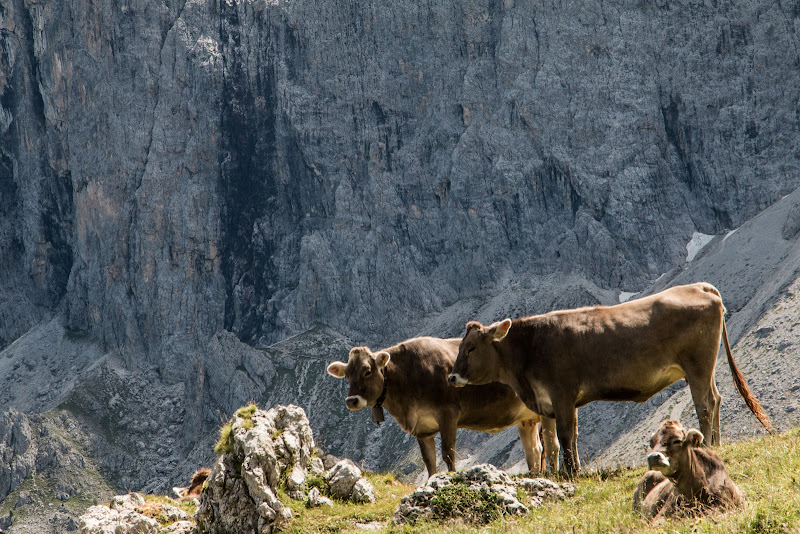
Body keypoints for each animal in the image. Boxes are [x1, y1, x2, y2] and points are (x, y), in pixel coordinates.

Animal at [324, 338, 556, 480]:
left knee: (550, 445)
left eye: (367, 371)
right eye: (347, 375)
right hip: (527, 419)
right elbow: (430, 461)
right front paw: (432, 482)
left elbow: (448, 455)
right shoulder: (422, 428)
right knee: (534, 450)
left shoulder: (448, 415)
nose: (352, 400)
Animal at [446, 282, 772, 476]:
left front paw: (573, 473)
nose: (451, 377)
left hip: (698, 365)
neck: (529, 349)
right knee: (715, 399)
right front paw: (559, 474)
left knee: (704, 404)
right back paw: (716, 443)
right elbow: (552, 442)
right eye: (459, 347)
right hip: (704, 367)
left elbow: (567, 435)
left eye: (471, 347)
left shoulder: (563, 395)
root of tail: (698, 286)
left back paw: (707, 446)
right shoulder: (544, 403)